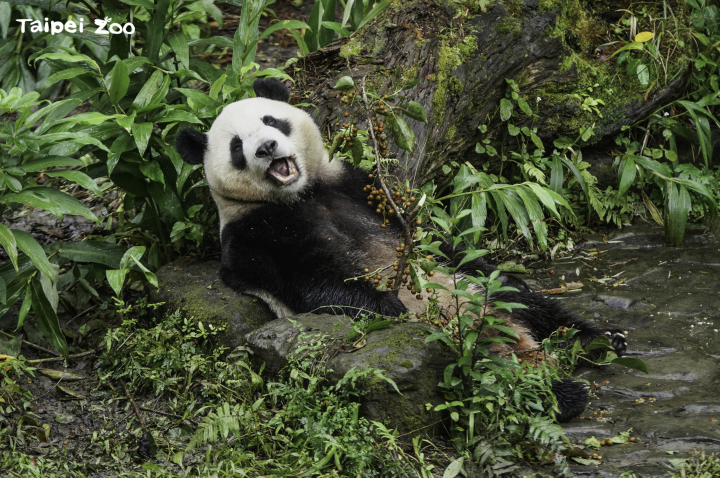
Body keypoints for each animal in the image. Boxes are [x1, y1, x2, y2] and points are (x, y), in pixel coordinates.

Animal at [174, 79, 624, 422]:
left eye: (272, 121)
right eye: (236, 146)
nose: (266, 147)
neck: (300, 195)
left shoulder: (355, 185)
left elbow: (434, 242)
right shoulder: (253, 234)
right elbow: (308, 283)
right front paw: (388, 305)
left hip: (486, 297)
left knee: (527, 302)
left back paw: (596, 341)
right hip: (454, 343)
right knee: (487, 368)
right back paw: (560, 393)